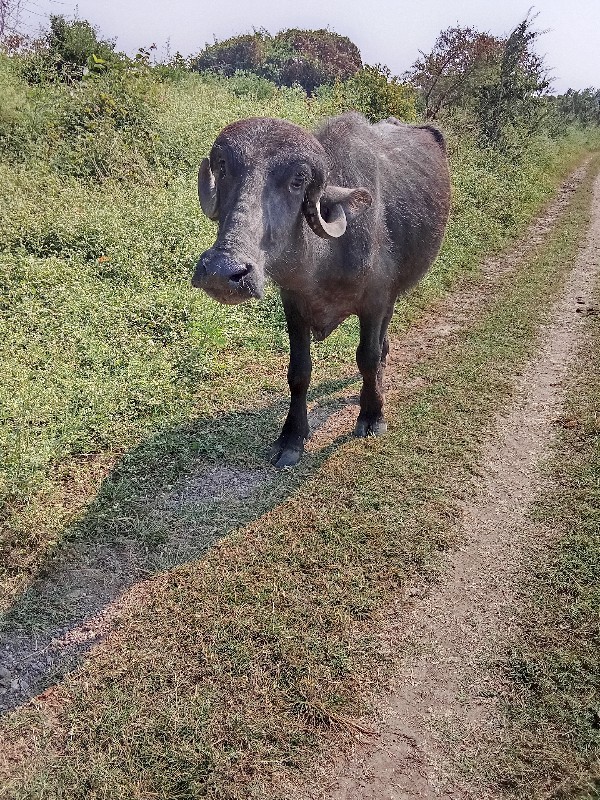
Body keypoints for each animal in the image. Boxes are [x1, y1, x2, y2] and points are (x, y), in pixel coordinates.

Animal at [192, 109, 450, 466]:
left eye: (297, 181)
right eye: (224, 167)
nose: (222, 270)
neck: (328, 257)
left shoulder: (375, 301)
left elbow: (367, 357)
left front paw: (372, 415)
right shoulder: (294, 304)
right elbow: (299, 372)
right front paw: (292, 436)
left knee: (381, 344)